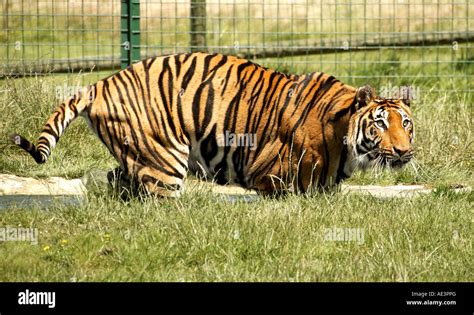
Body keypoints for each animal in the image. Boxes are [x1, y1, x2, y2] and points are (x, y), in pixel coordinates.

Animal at [8, 53, 414, 199]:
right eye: (380, 124)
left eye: (406, 125)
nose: (404, 151)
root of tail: (99, 84)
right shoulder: (271, 177)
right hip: (165, 161)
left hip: (138, 154)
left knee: (116, 180)